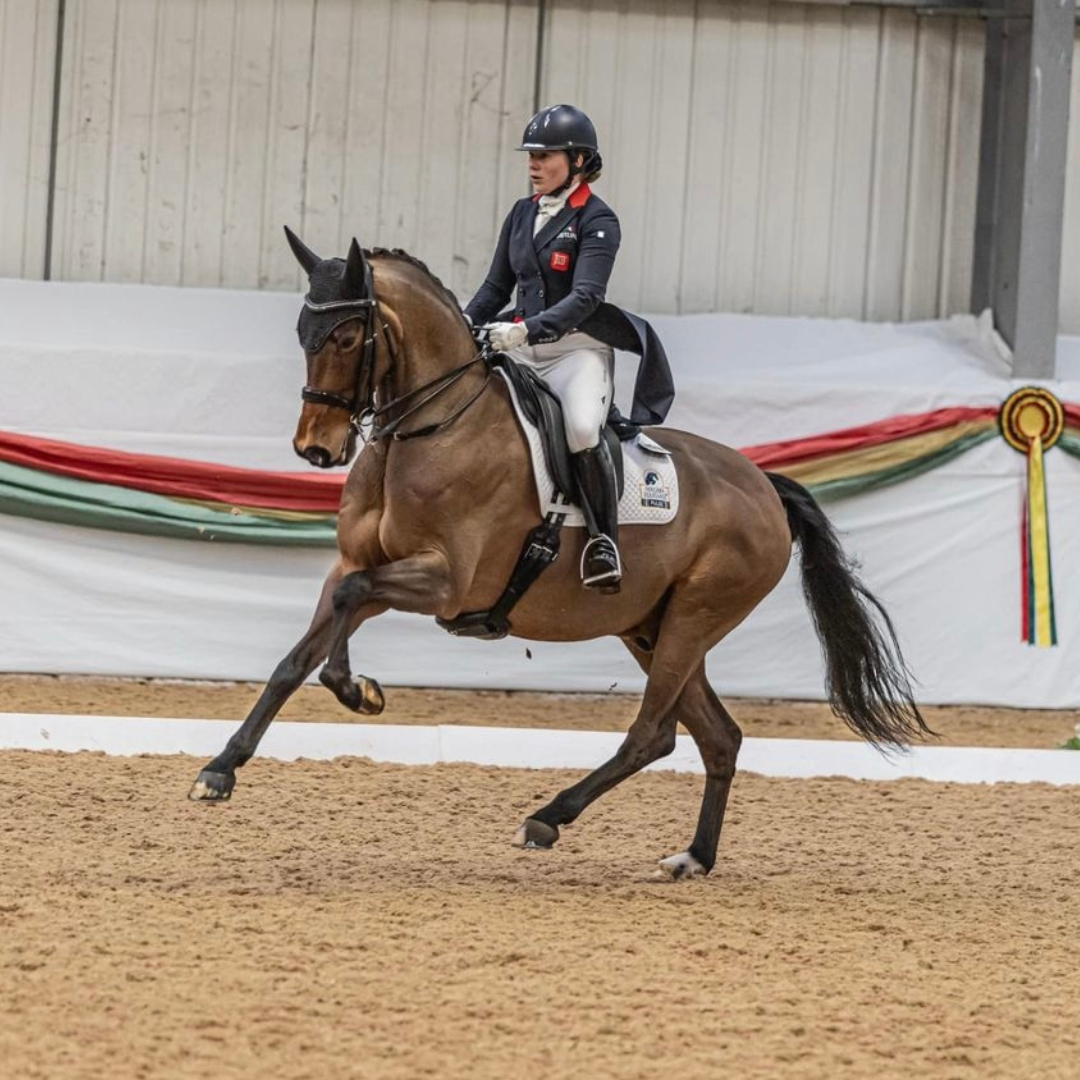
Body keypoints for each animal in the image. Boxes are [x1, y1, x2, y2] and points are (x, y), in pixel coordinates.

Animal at [187, 230, 928, 876]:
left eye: (345, 337)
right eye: (302, 335)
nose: (315, 449)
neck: (427, 428)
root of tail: (763, 485)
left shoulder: (445, 581)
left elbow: (348, 602)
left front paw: (355, 690)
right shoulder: (363, 564)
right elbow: (300, 652)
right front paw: (223, 769)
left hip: (694, 617)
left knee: (652, 732)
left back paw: (547, 819)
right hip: (650, 627)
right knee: (717, 736)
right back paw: (693, 858)